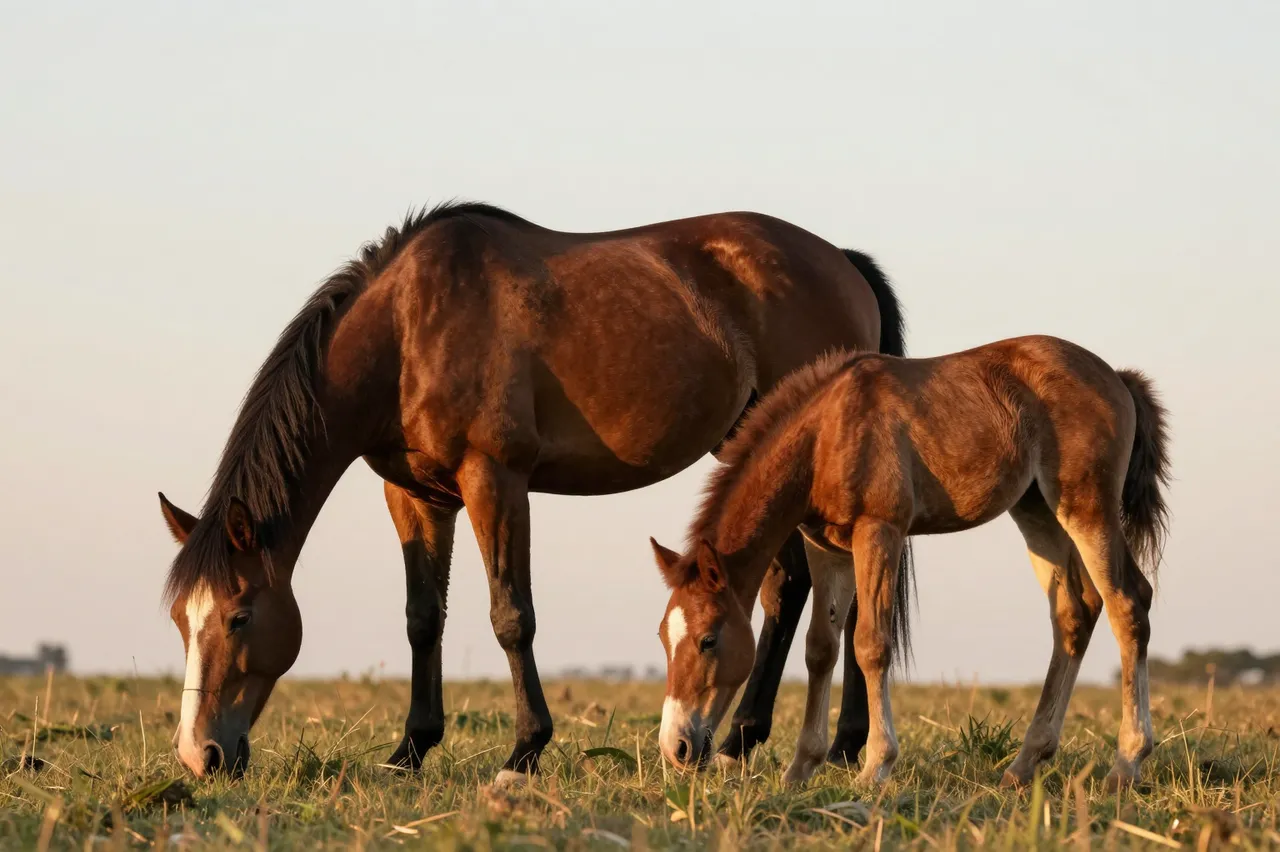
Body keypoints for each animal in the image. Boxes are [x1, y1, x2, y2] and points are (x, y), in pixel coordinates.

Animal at [155, 201, 915, 784]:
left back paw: (755, 742)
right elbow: (423, 618)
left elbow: (510, 616)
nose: (199, 755)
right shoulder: (415, 495)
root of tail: (843, 262)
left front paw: (523, 752)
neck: (406, 329)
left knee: (801, 591)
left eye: (238, 617)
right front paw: (409, 750)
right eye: (179, 623)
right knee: (814, 589)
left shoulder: (494, 477)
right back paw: (827, 743)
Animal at [652, 334, 1170, 789]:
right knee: (1074, 613)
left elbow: (870, 644)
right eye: (662, 638)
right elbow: (821, 647)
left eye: (708, 640)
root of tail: (1117, 377)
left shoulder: (880, 531)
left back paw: (1127, 762)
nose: (676, 748)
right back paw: (1024, 765)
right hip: (1037, 510)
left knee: (1129, 602)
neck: (826, 434)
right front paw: (800, 769)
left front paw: (875, 766)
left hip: (1086, 507)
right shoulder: (827, 548)